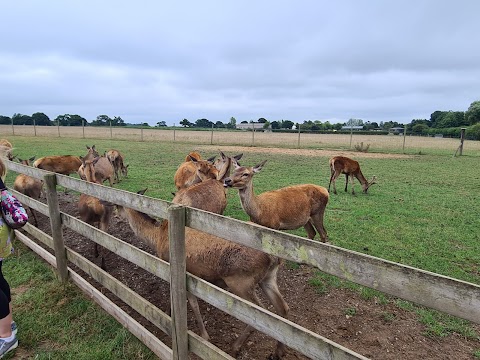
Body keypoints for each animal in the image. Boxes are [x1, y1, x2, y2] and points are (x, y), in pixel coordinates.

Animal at [116, 188, 288, 358]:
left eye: (118, 206)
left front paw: (202, 335)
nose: (116, 218)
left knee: (261, 316)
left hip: (240, 281)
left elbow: (190, 302)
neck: (156, 238)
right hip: (268, 277)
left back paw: (235, 347)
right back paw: (278, 352)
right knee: (282, 310)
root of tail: (274, 256)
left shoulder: (175, 269)